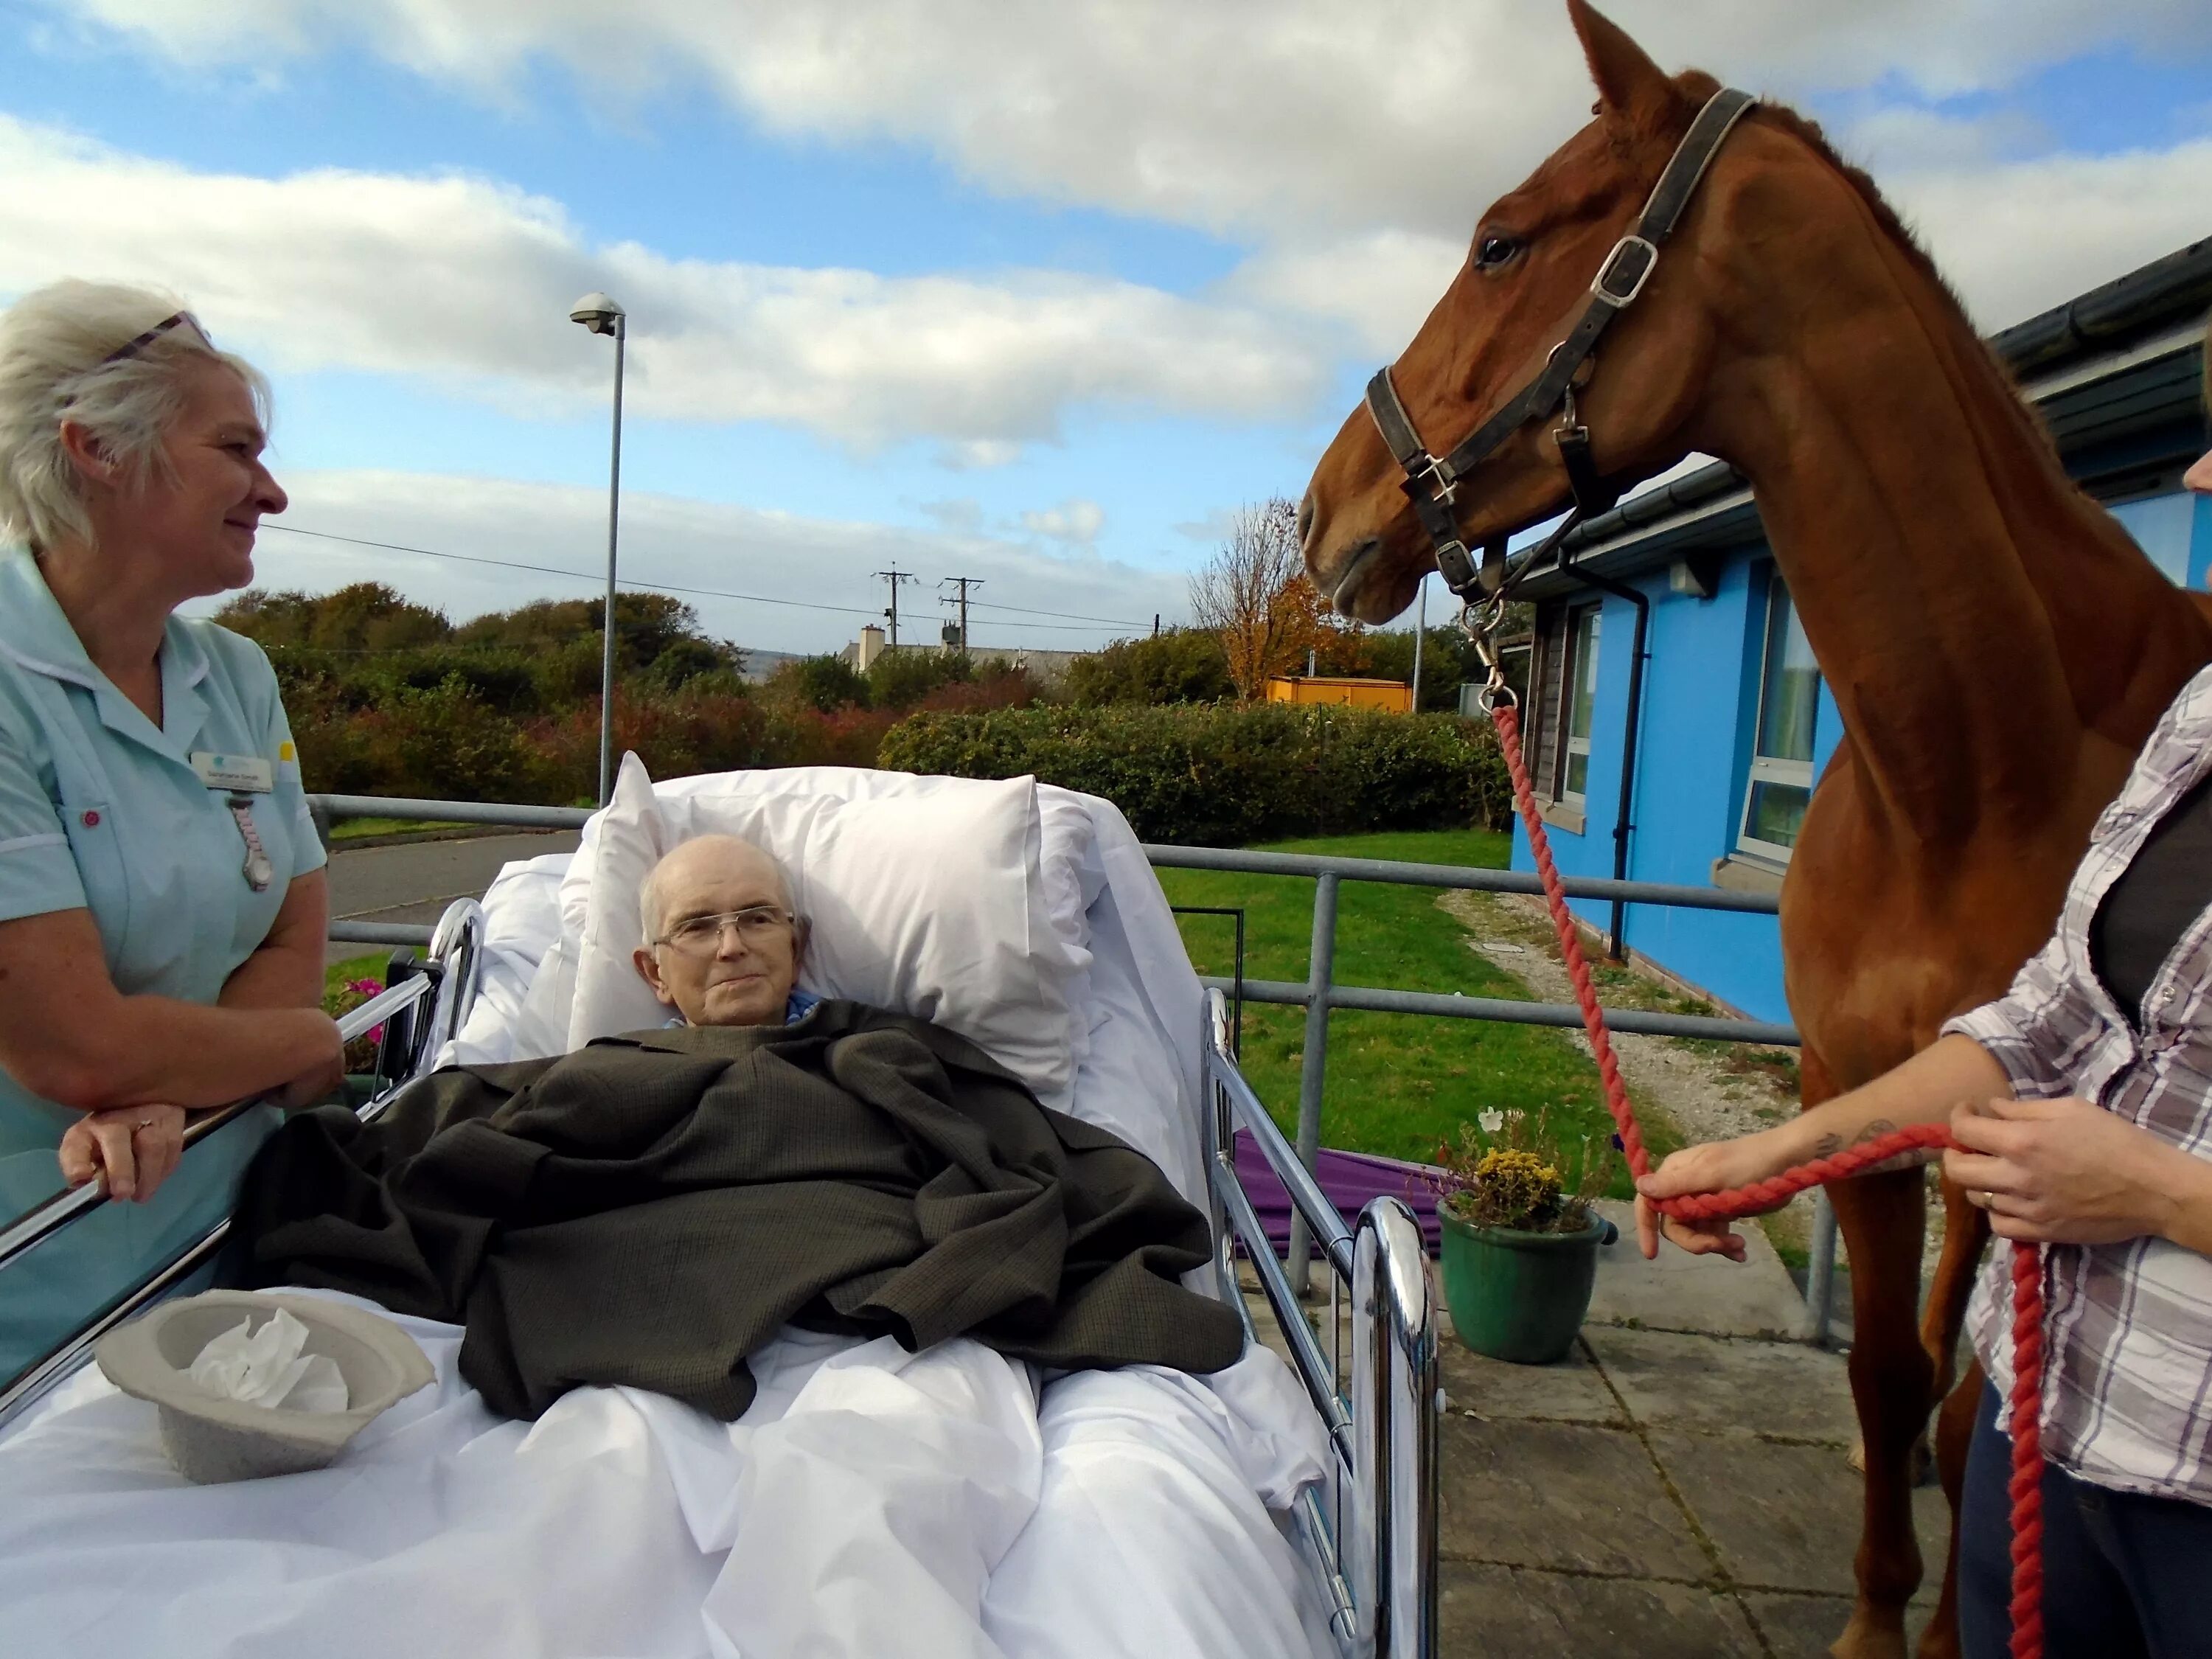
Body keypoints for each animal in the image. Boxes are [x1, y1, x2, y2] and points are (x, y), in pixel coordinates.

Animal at [1301, 3, 2212, 1659]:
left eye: (1500, 239)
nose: (1321, 511)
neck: (1975, 769)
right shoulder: (1854, 1088)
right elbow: (1889, 1366)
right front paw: (1873, 1616)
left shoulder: (2011, 1121)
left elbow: (1976, 1406)